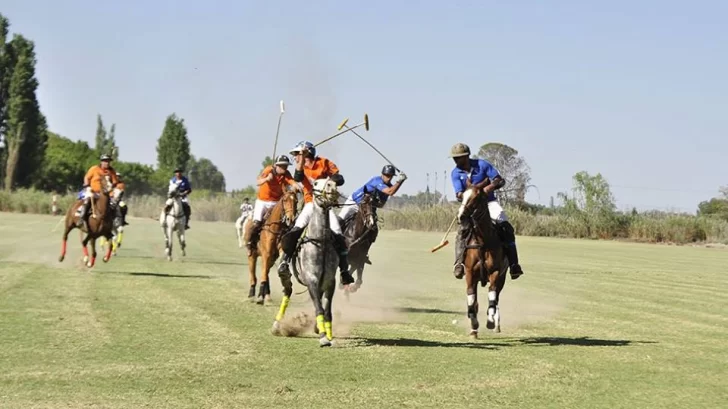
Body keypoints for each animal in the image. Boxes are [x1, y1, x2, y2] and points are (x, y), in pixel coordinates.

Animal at [272, 177, 342, 346]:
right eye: (316, 183)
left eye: (333, 181)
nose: (332, 187)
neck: (321, 241)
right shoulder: (312, 280)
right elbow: (319, 308)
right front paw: (323, 337)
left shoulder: (330, 281)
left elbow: (327, 311)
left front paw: (328, 335)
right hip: (287, 274)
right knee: (287, 290)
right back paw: (277, 324)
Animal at [458, 183, 510, 336]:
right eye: (462, 196)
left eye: (476, 198)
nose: (461, 216)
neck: (483, 241)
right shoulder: (470, 272)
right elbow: (471, 297)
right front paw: (474, 324)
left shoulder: (495, 272)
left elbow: (492, 295)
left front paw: (491, 321)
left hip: (503, 277)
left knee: (496, 297)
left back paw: (496, 322)